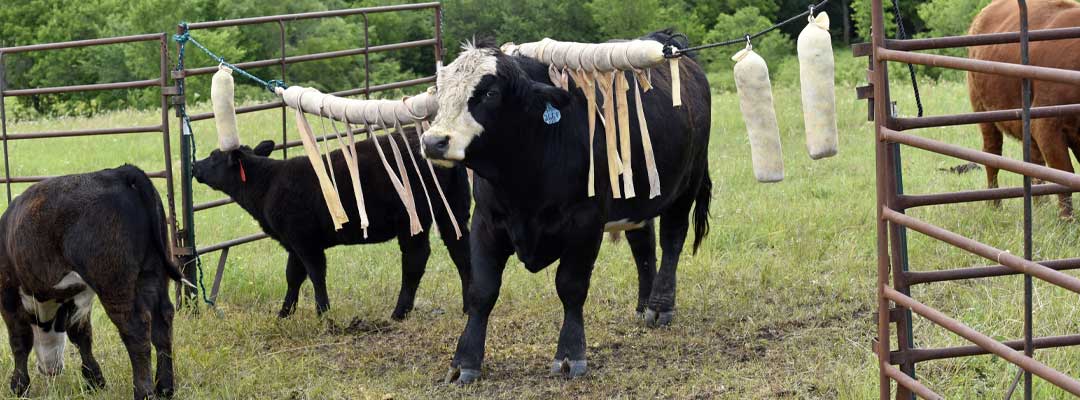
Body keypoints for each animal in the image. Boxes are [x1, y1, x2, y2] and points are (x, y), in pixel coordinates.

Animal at [423, 29, 717, 382]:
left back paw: (660, 306)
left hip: (687, 182)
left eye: (490, 93)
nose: (433, 142)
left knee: (672, 239)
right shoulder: (486, 222)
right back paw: (644, 304)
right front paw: (464, 361)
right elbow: (482, 290)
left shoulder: (584, 224)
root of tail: (668, 42)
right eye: (441, 92)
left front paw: (569, 355)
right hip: (636, 195)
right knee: (643, 245)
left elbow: (571, 286)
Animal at [967, 0, 1080, 218]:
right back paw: (995, 205)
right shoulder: (1047, 125)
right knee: (992, 155)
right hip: (983, 111)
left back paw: (1040, 206)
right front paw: (1067, 220)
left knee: (1034, 164)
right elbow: (1065, 174)